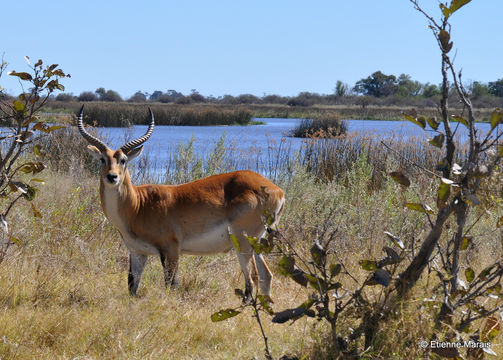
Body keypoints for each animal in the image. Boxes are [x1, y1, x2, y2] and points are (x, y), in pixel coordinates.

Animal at [77, 105, 286, 296]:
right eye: (102, 159)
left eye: (123, 160)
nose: (112, 177)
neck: (138, 206)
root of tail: (277, 190)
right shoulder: (138, 253)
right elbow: (132, 286)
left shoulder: (171, 249)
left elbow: (171, 284)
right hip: (257, 241)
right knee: (266, 276)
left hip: (242, 241)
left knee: (252, 279)